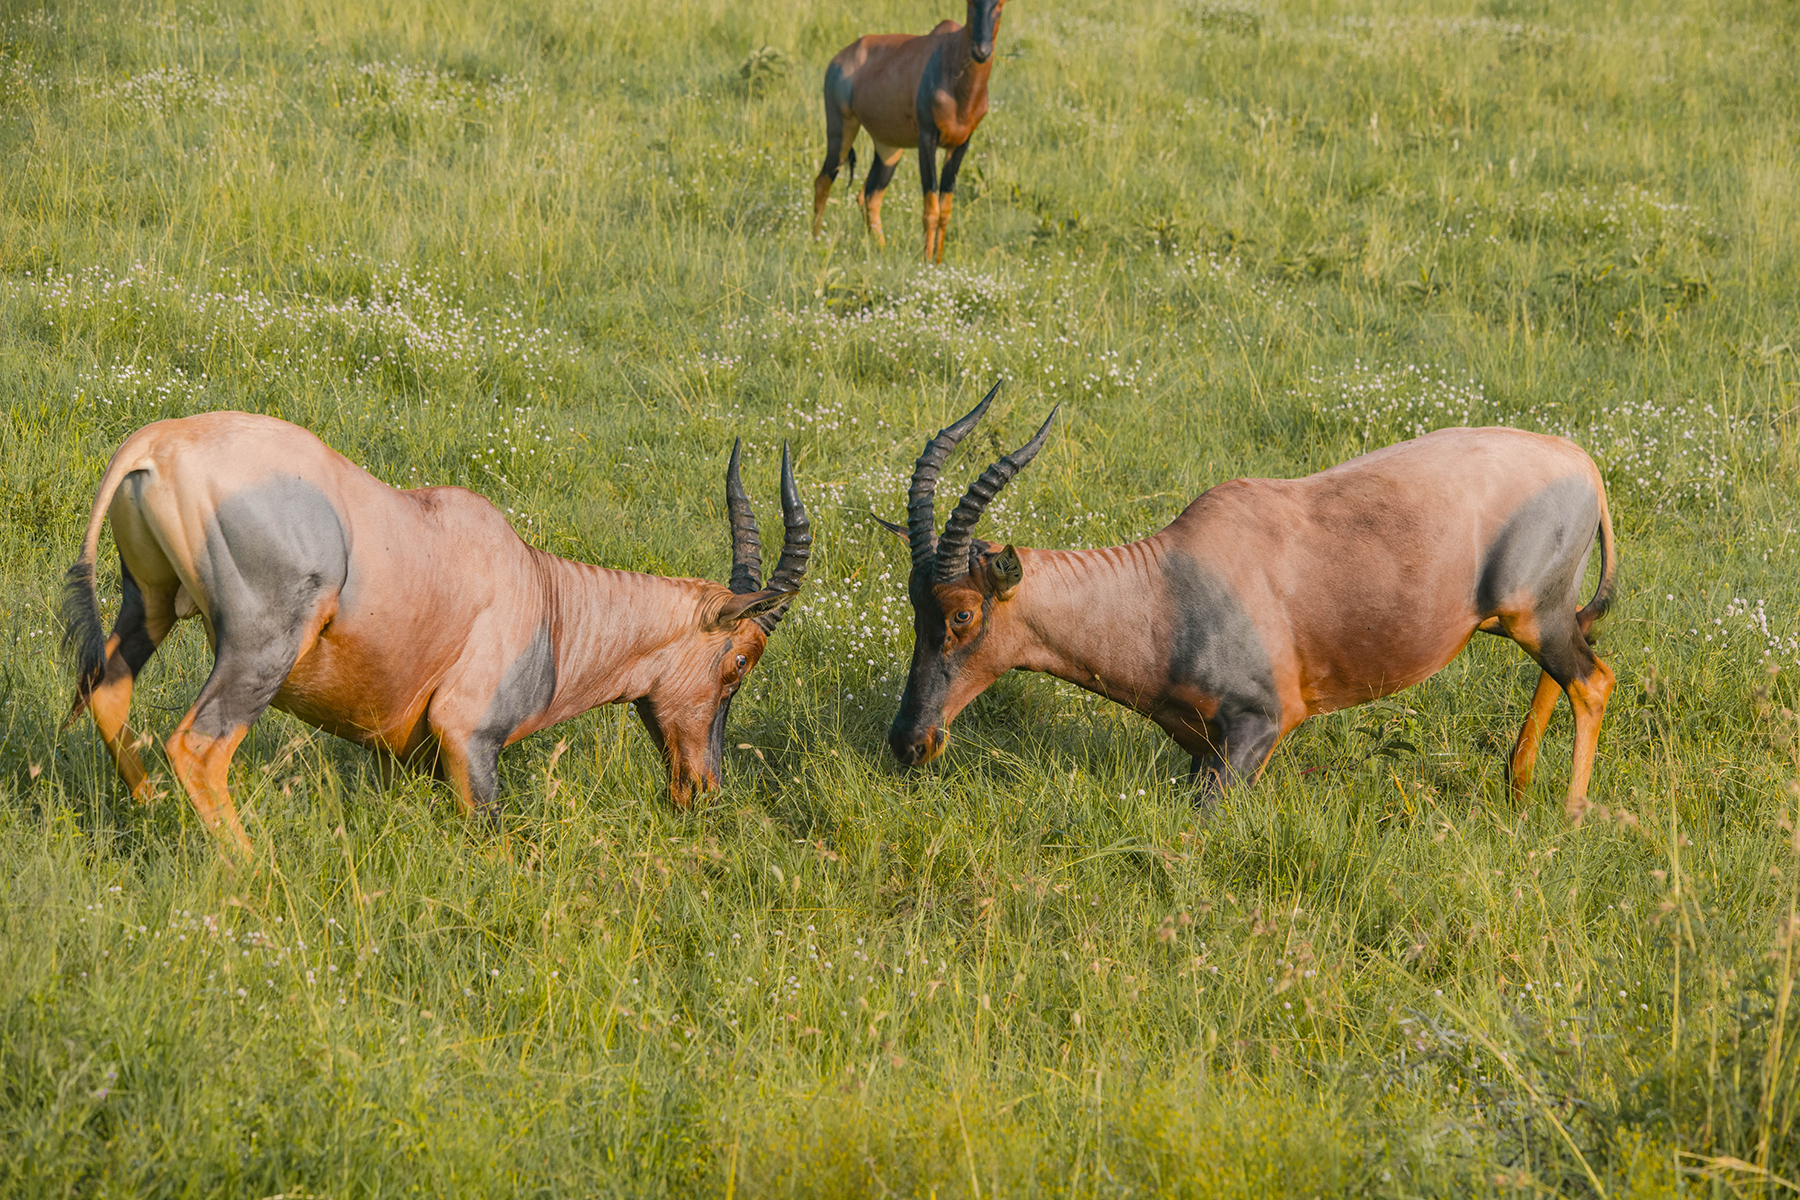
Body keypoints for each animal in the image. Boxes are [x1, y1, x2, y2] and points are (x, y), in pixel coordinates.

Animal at [61, 415, 810, 863]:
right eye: (739, 662)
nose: (701, 788)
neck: (538, 593)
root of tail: (159, 442)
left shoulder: (404, 756)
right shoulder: (468, 737)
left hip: (149, 605)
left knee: (107, 692)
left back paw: (151, 809)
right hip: (260, 648)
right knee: (198, 744)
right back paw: (253, 865)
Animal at [813, 0, 1008, 260]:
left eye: (1000, 4)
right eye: (970, 3)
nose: (981, 51)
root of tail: (839, 59)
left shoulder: (961, 143)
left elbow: (945, 209)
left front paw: (937, 261)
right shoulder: (927, 139)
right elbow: (931, 209)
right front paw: (926, 262)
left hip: (888, 149)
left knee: (869, 196)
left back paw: (882, 252)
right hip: (841, 129)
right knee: (823, 181)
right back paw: (814, 242)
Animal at [878, 386, 1627, 827]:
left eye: (963, 614)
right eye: (915, 607)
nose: (910, 742)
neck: (1168, 588)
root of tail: (1581, 462)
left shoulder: (1259, 728)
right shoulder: (1198, 743)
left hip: (1534, 617)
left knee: (1594, 680)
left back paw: (1569, 816)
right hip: (1532, 618)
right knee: (1571, 668)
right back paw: (1517, 788)